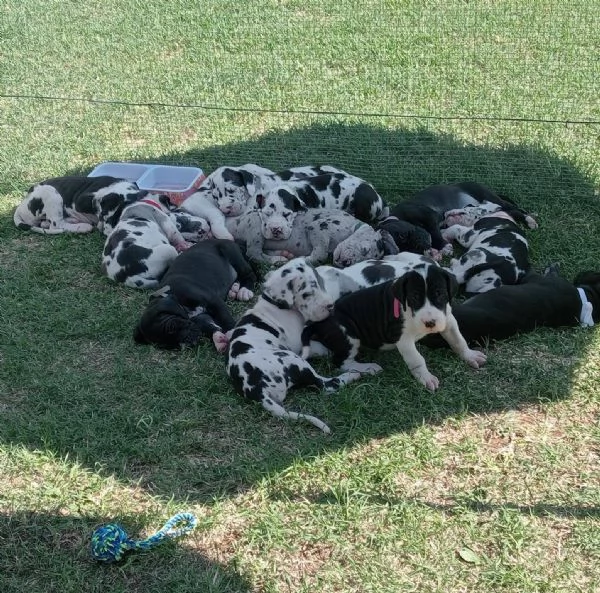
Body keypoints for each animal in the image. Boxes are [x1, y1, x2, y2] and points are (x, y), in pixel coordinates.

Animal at [13, 175, 145, 235]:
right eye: (106, 217)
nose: (108, 233)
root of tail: (20, 207)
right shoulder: (80, 201)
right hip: (51, 193)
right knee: (56, 225)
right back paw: (81, 227)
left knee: (47, 223)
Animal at [225, 207, 398, 264]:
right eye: (364, 250)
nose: (346, 263)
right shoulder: (318, 227)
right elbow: (320, 254)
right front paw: (306, 259)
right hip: (256, 226)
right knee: (253, 253)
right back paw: (278, 260)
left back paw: (282, 255)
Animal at [226, 256, 364, 432]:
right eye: (306, 294)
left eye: (320, 282)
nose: (330, 306)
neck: (277, 305)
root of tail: (257, 389)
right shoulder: (300, 343)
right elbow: (320, 347)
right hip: (294, 359)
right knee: (325, 385)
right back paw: (353, 375)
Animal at [302, 258, 486, 388]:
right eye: (414, 297)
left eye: (439, 294)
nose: (430, 323)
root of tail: (317, 323)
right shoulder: (404, 340)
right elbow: (417, 360)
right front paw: (426, 378)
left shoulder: (448, 320)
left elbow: (458, 340)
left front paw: (470, 355)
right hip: (349, 337)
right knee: (342, 362)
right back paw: (368, 367)